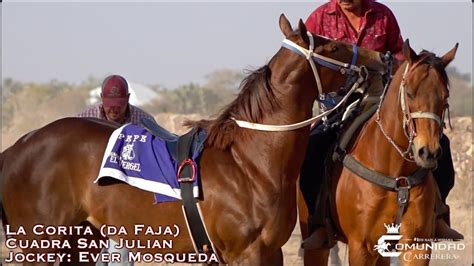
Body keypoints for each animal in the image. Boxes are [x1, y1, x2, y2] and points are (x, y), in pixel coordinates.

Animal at [0, 15, 386, 266]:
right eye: (334, 45)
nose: (380, 59)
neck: (249, 163)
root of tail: (17, 147)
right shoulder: (247, 254)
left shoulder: (270, 252)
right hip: (40, 244)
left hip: (80, 241)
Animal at [298, 40, 458, 266]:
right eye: (409, 93)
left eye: (445, 97)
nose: (428, 152)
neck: (396, 174)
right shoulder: (361, 247)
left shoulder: (416, 245)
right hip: (317, 245)